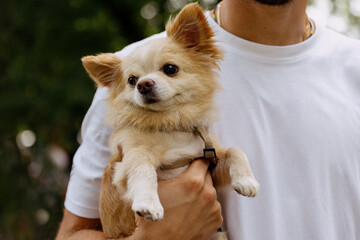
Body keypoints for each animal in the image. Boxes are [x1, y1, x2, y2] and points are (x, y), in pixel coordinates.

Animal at [82, 2, 258, 239]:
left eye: (170, 69)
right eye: (131, 80)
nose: (143, 84)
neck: (171, 124)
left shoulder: (211, 162)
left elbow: (234, 150)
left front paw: (247, 181)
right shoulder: (131, 157)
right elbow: (143, 169)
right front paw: (149, 204)